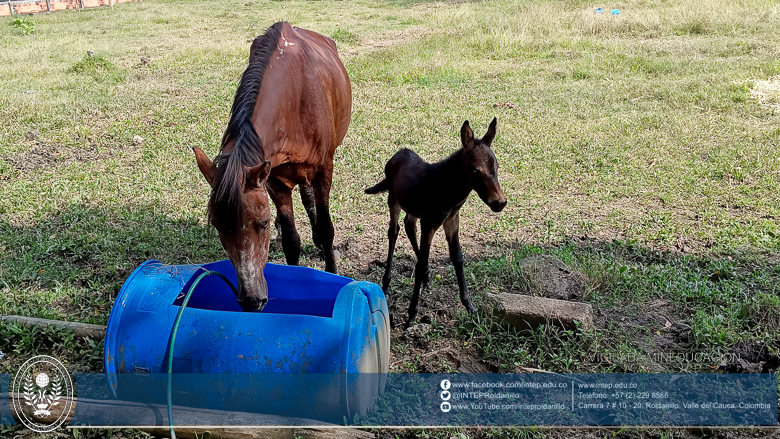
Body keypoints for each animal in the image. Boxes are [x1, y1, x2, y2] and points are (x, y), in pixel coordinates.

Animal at [193, 21, 352, 312]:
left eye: (263, 223)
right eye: (219, 227)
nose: (251, 301)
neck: (294, 102)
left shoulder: (324, 170)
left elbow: (326, 229)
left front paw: (333, 271)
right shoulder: (274, 181)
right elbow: (291, 240)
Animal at [366, 118, 506, 328]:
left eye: (496, 167)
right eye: (475, 170)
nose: (499, 203)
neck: (448, 191)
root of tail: (397, 155)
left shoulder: (451, 220)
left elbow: (457, 257)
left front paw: (469, 306)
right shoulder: (430, 222)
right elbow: (421, 263)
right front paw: (411, 315)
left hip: (413, 208)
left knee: (409, 225)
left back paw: (425, 279)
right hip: (394, 200)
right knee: (394, 231)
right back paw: (387, 284)